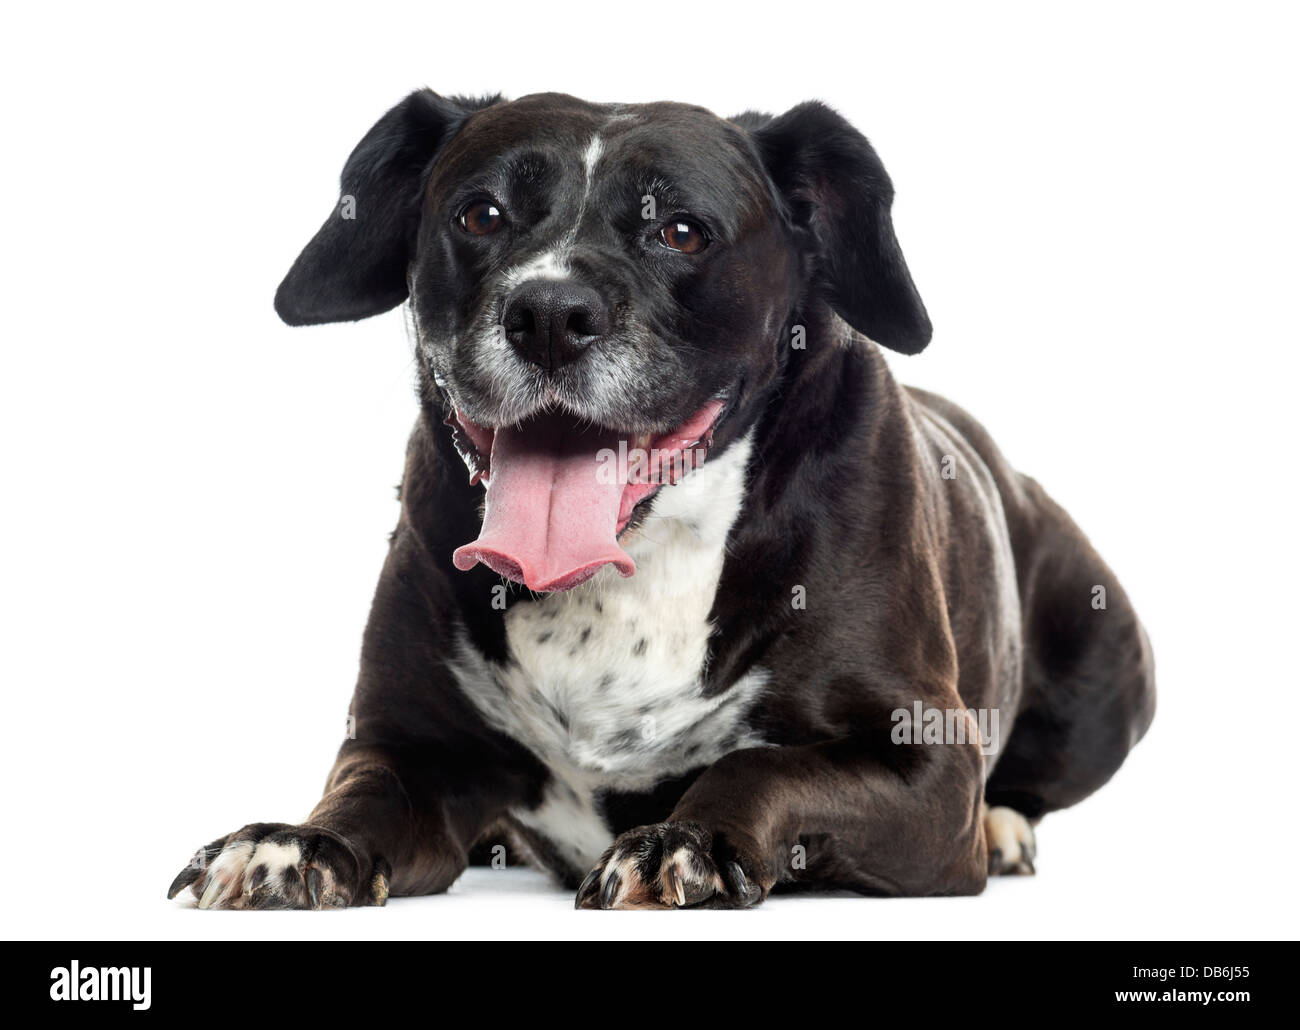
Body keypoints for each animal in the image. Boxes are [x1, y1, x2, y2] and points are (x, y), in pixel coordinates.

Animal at [167, 88, 1154, 910]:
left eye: (681, 231)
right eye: (479, 214)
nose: (549, 314)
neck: (630, 571)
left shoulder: (927, 766)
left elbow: (764, 768)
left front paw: (685, 838)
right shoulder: (405, 741)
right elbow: (362, 794)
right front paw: (295, 843)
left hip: (1107, 666)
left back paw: (1007, 822)